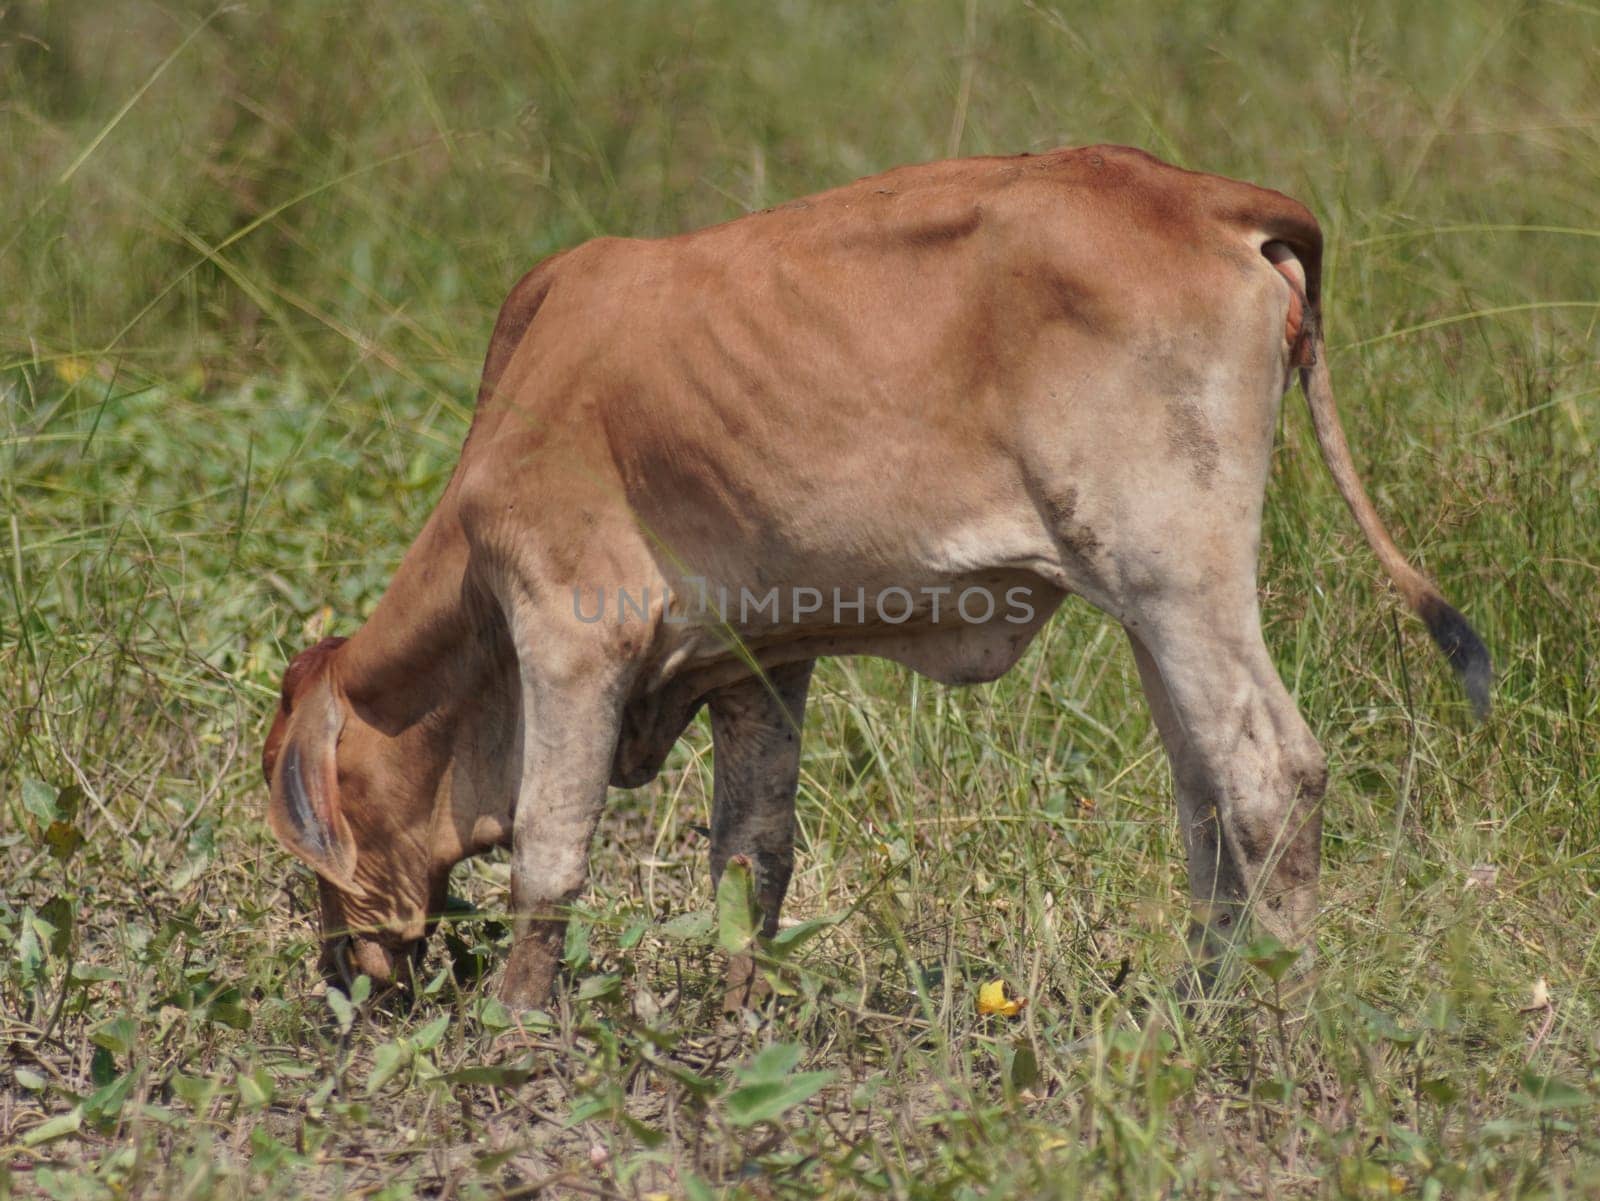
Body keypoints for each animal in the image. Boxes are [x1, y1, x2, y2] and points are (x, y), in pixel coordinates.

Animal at [259, 145, 1484, 1004]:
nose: (340, 967)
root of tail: (1212, 200)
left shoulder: (571, 630)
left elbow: (549, 857)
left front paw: (517, 1026)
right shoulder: (758, 662)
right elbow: (752, 857)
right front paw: (732, 1020)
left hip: (1177, 573)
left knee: (1271, 774)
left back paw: (1266, 1022)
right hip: (1148, 605)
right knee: (1203, 791)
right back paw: (1193, 999)